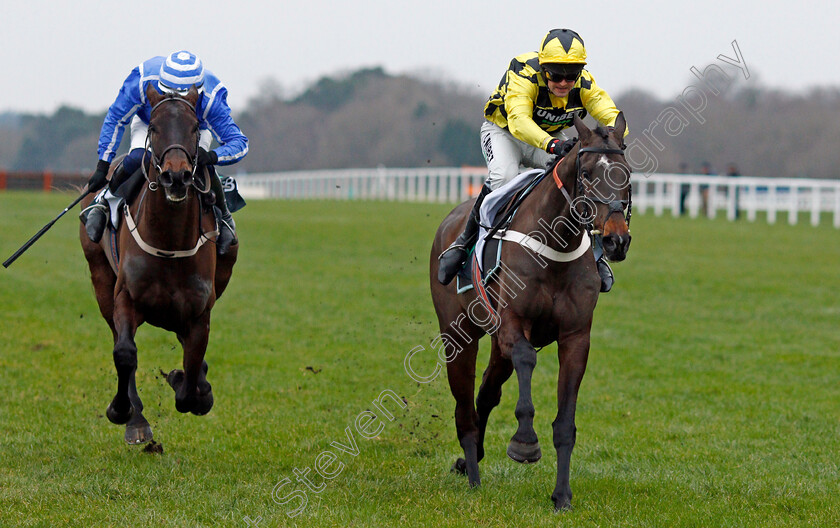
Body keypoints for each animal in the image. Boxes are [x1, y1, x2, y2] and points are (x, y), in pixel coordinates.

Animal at [80, 86, 238, 446]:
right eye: (154, 127)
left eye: (195, 128)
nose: (175, 176)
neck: (169, 242)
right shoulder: (125, 298)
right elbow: (125, 354)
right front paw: (123, 413)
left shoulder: (199, 313)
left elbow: (191, 378)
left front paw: (191, 385)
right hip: (100, 279)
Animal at [434, 113, 632, 510]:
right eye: (586, 172)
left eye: (628, 172)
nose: (616, 239)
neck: (555, 245)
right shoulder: (513, 323)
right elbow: (527, 358)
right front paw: (524, 443)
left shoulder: (575, 336)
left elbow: (565, 424)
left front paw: (562, 496)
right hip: (458, 336)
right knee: (464, 409)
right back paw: (473, 475)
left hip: (496, 346)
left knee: (486, 393)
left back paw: (471, 459)